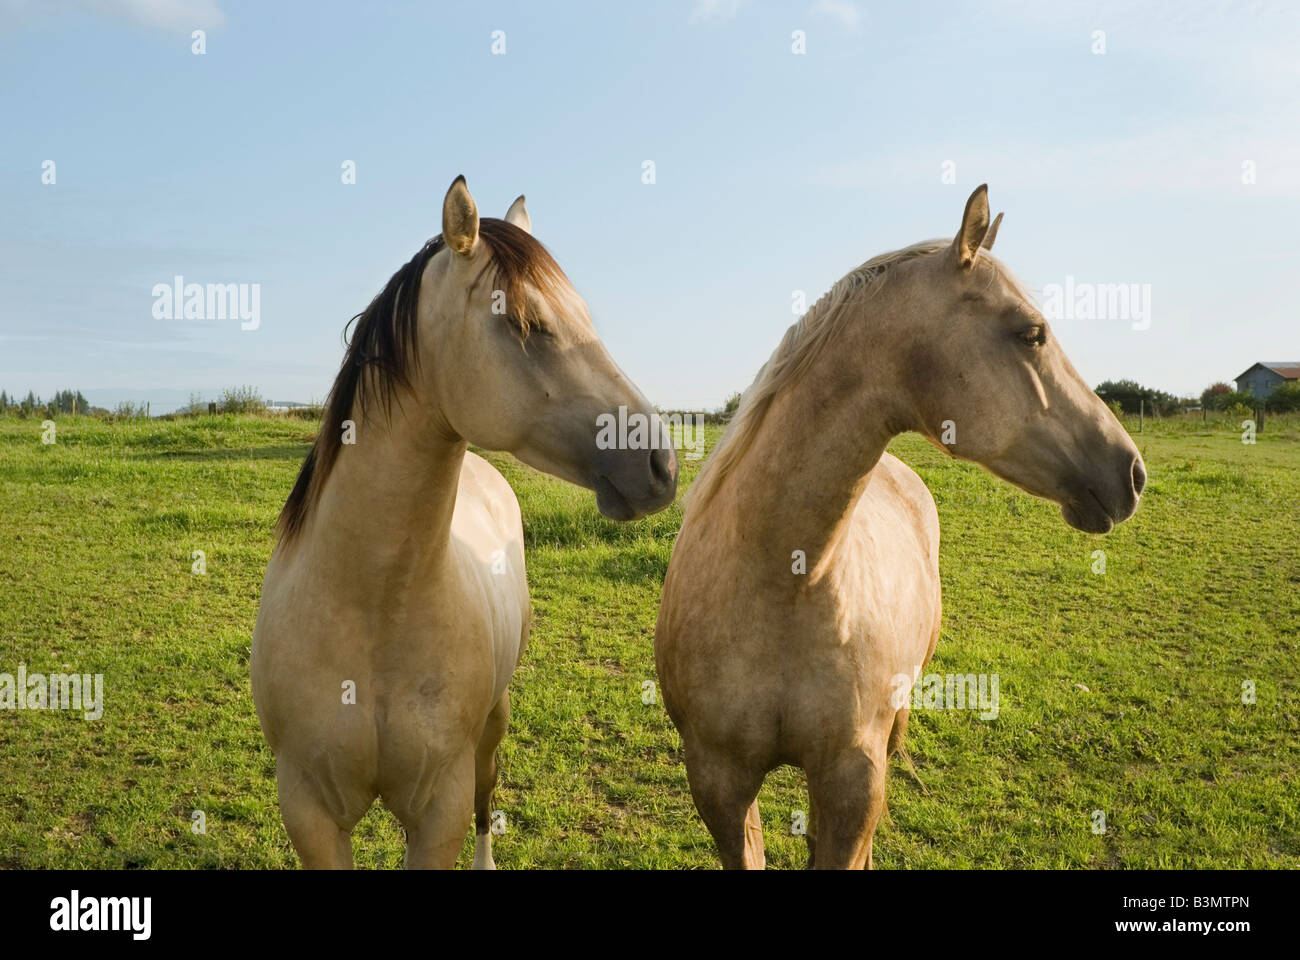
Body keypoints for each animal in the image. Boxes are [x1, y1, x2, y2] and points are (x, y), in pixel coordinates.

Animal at [252, 176, 677, 868]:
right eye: (527, 322)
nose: (661, 463)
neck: (372, 610)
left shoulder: (439, 809)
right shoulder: (310, 811)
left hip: (493, 724)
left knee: (487, 793)